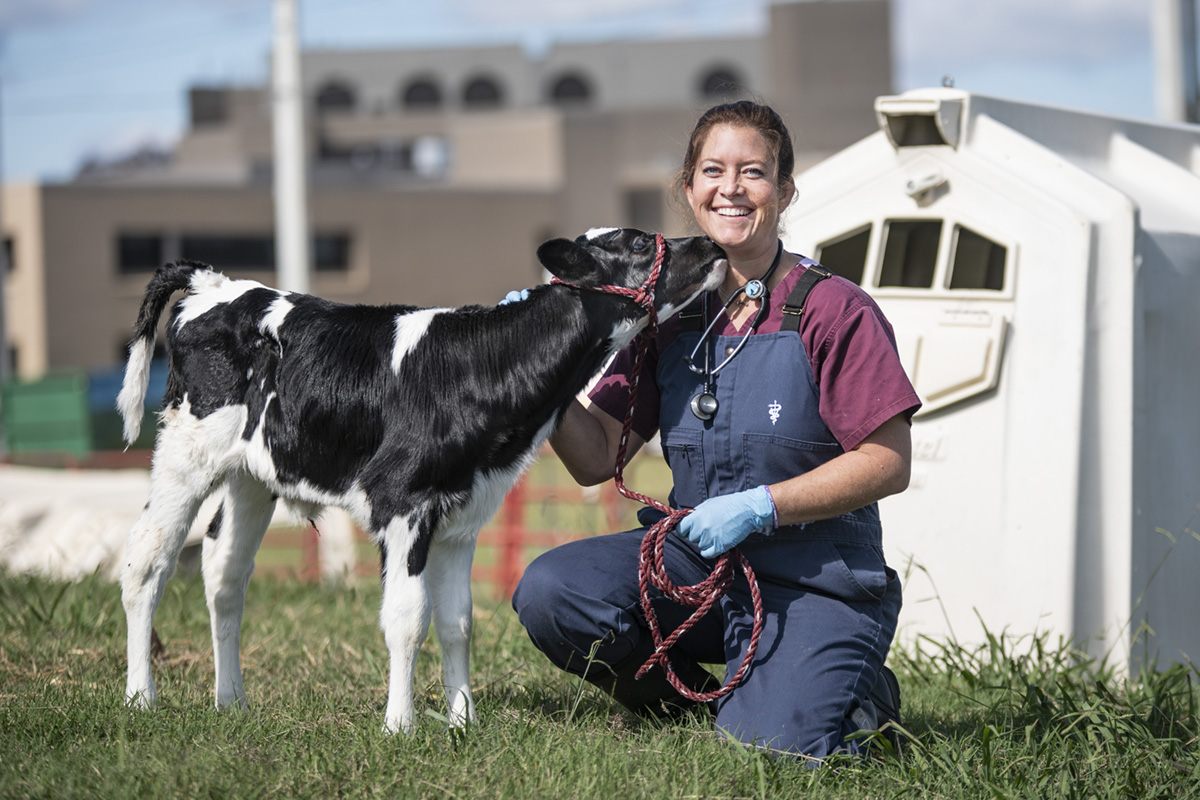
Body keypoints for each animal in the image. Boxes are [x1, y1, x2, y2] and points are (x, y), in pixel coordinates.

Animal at [117, 226, 724, 734]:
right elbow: (407, 618)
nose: (710, 244)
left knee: (225, 574)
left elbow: (458, 620)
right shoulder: (403, 504)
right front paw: (400, 726)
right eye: (641, 243)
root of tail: (216, 284)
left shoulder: (463, 519)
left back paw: (231, 702)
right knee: (146, 562)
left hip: (250, 476)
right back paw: (140, 698)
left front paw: (463, 723)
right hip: (184, 455)